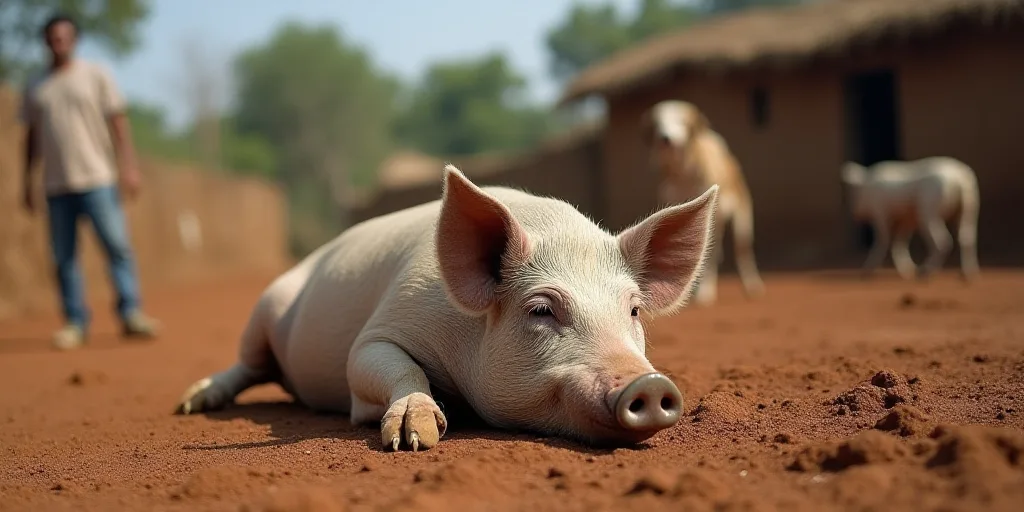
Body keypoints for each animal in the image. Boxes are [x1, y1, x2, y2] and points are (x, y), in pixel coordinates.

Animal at [175, 165, 719, 451]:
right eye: (541, 310)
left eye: (633, 311)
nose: (650, 383)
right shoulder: (383, 328)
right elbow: (382, 364)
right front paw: (414, 438)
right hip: (265, 308)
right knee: (247, 365)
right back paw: (191, 403)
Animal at [641, 100, 765, 306]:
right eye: (658, 123)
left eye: (681, 120)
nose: (664, 139)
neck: (682, 173)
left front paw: (705, 291)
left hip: (742, 223)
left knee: (742, 253)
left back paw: (751, 285)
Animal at [840, 157, 980, 280]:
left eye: (853, 193)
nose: (855, 214)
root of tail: (960, 180)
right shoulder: (908, 218)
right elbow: (900, 243)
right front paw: (908, 272)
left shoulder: (880, 212)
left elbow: (883, 240)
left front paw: (865, 273)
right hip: (970, 204)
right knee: (967, 238)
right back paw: (968, 276)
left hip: (929, 209)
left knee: (944, 241)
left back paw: (923, 273)